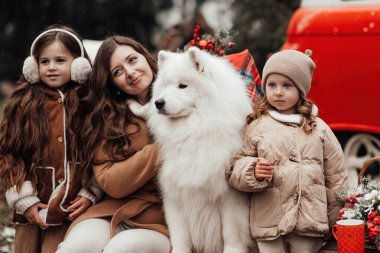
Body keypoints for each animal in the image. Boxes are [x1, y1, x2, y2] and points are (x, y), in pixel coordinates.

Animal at [129, 47, 254, 253]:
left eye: (182, 86)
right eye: (165, 86)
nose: (158, 103)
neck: (193, 133)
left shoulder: (230, 197)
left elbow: (231, 234)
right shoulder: (174, 194)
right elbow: (180, 235)